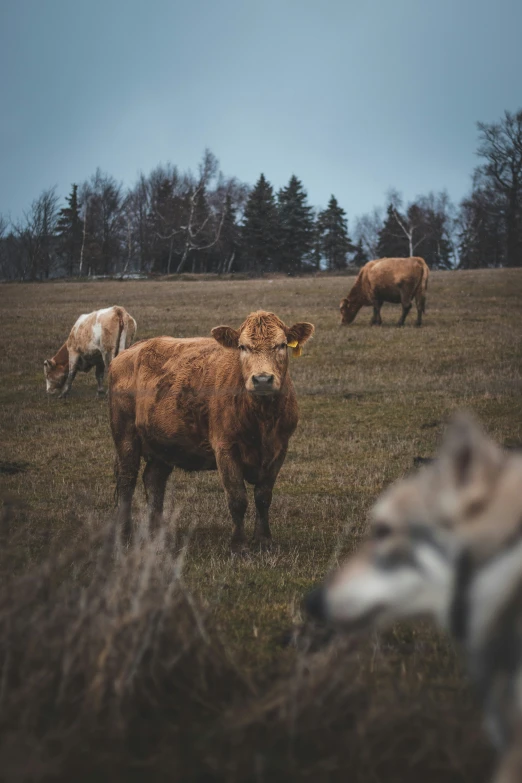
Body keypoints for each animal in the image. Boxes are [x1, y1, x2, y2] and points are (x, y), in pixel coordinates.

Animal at [108, 310, 312, 552]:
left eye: (281, 345)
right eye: (242, 346)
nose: (262, 379)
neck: (262, 420)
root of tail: (130, 351)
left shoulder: (279, 449)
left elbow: (263, 497)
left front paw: (263, 540)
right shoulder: (225, 448)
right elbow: (237, 498)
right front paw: (239, 545)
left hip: (163, 444)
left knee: (154, 481)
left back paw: (156, 533)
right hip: (125, 437)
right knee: (127, 481)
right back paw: (123, 533)